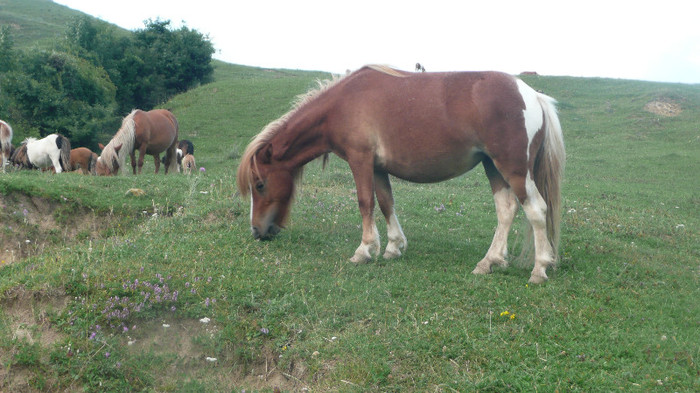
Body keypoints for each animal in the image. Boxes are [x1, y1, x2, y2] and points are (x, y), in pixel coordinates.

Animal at [238, 66, 568, 284]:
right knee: (507, 210)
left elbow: (365, 203)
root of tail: (533, 96)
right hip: (493, 167)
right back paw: (489, 262)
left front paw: (364, 250)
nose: (256, 231)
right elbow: (386, 204)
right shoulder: (378, 168)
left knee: (536, 210)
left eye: (260, 184)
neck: (341, 104)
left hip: (513, 169)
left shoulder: (360, 160)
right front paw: (393, 247)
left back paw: (539, 269)